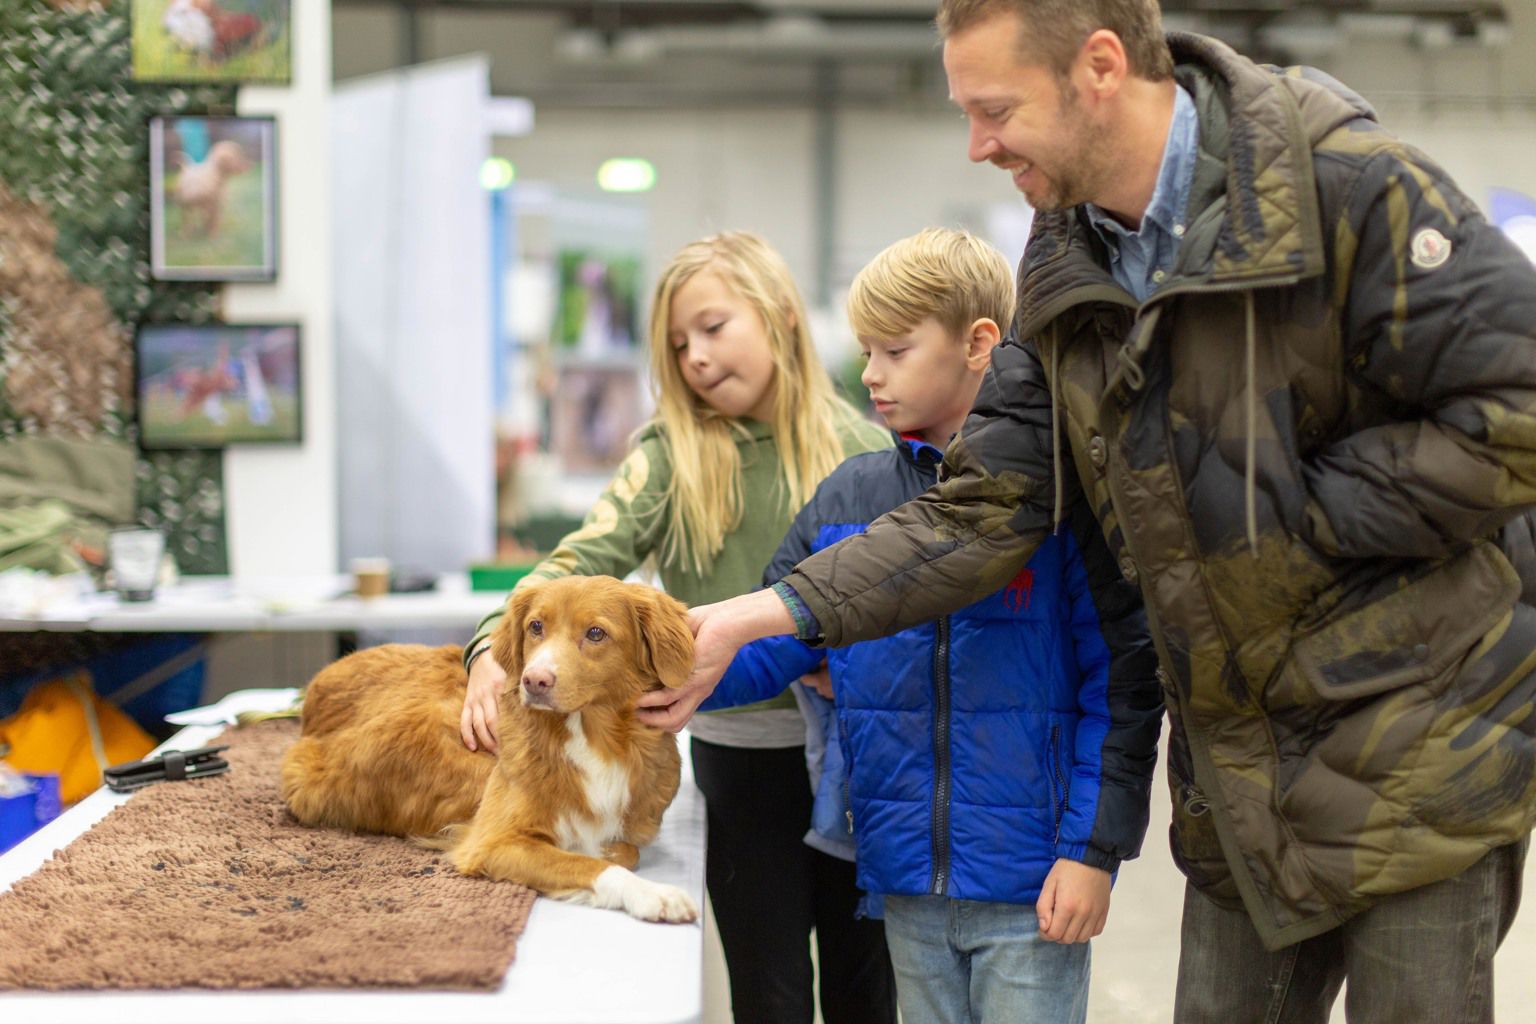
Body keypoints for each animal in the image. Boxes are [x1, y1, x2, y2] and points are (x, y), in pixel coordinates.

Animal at [279, 580, 700, 927]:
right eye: (535, 626)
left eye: (596, 633)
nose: (534, 680)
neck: (592, 739)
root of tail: (323, 679)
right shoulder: (493, 842)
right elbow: (591, 863)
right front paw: (652, 893)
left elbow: (625, 850)